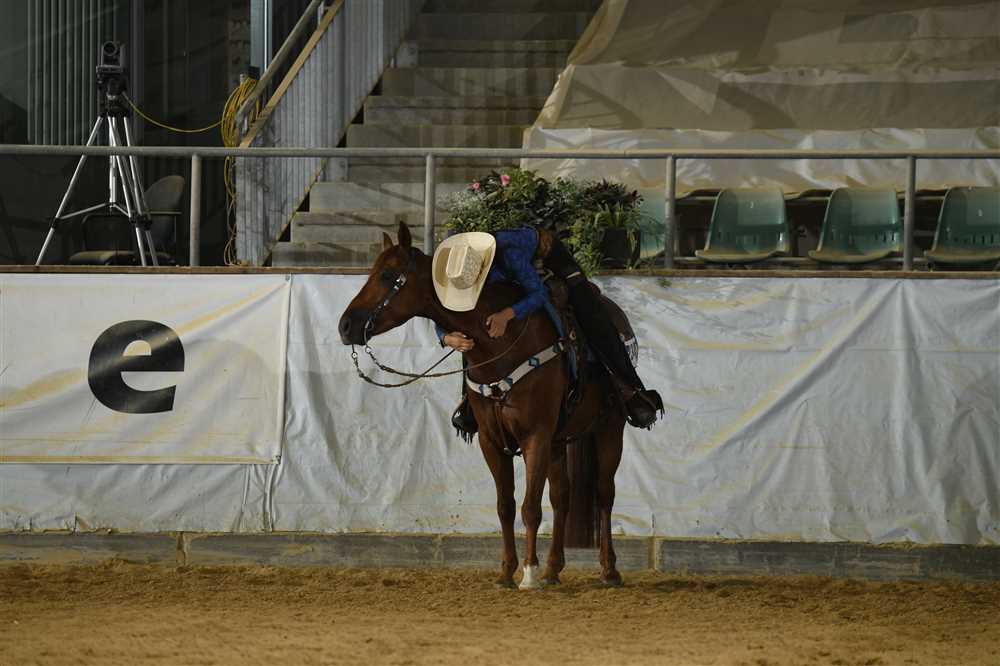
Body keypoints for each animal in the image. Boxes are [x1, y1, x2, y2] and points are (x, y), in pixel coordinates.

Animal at [339, 222, 627, 589]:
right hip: (559, 441)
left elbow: (530, 508)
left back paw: (608, 570)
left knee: (605, 494)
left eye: (388, 275)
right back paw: (552, 569)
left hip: (610, 427)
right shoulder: (492, 440)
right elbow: (506, 505)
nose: (345, 326)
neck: (500, 345)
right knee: (562, 496)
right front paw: (506, 572)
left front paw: (528, 573)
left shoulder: (535, 436)